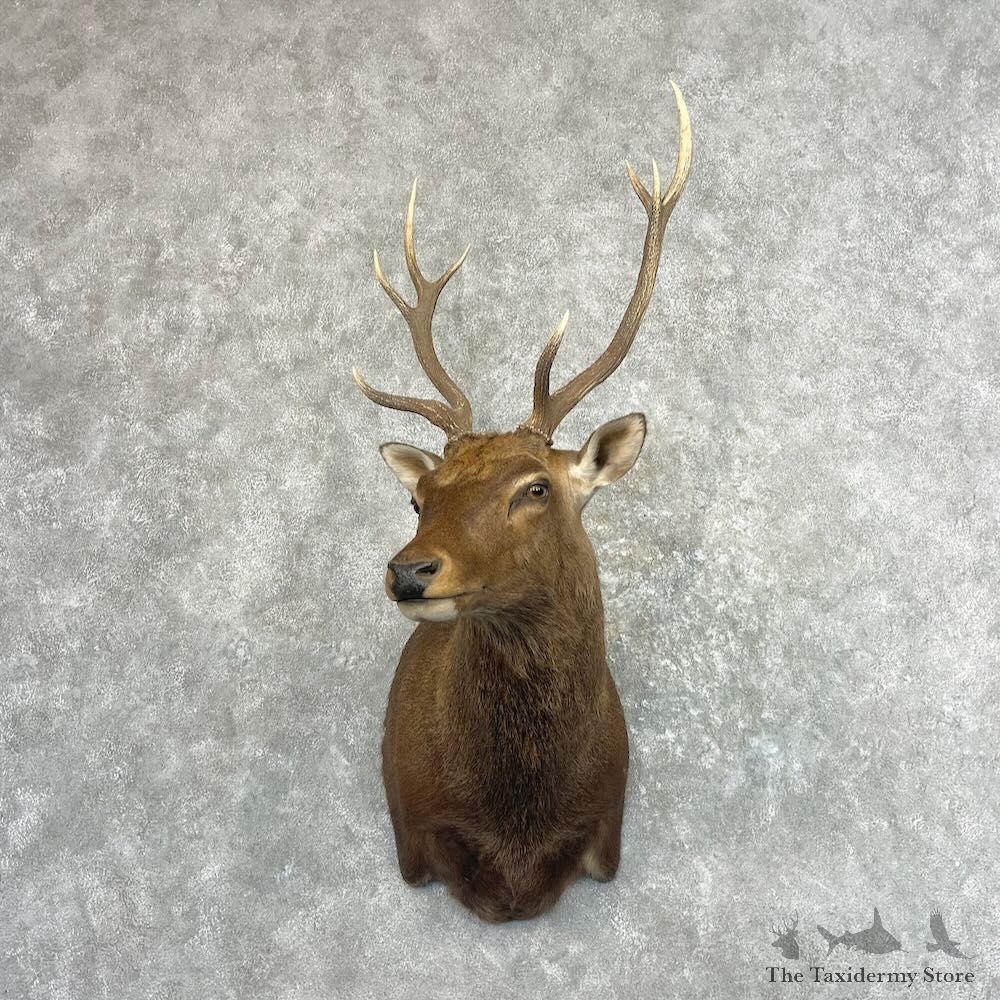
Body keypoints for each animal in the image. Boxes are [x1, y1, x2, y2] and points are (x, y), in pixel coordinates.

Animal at [352, 82, 691, 922]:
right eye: (419, 500)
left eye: (535, 487)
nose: (409, 572)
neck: (517, 826)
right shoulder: (413, 838)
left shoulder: (608, 832)